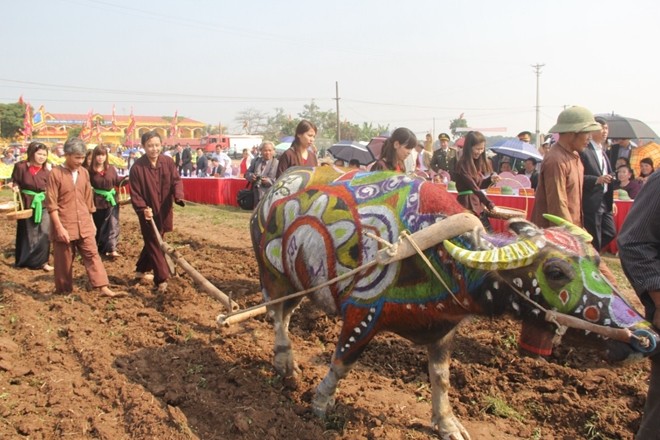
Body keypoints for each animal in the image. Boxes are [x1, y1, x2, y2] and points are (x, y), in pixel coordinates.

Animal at [249, 168, 660, 440]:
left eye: (596, 260)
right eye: (556, 271)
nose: (645, 336)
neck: (441, 258)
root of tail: (269, 194)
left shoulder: (443, 330)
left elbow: (441, 379)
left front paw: (447, 424)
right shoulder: (363, 314)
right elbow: (341, 363)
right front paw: (319, 404)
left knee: (286, 314)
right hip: (274, 277)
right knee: (276, 316)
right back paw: (285, 362)